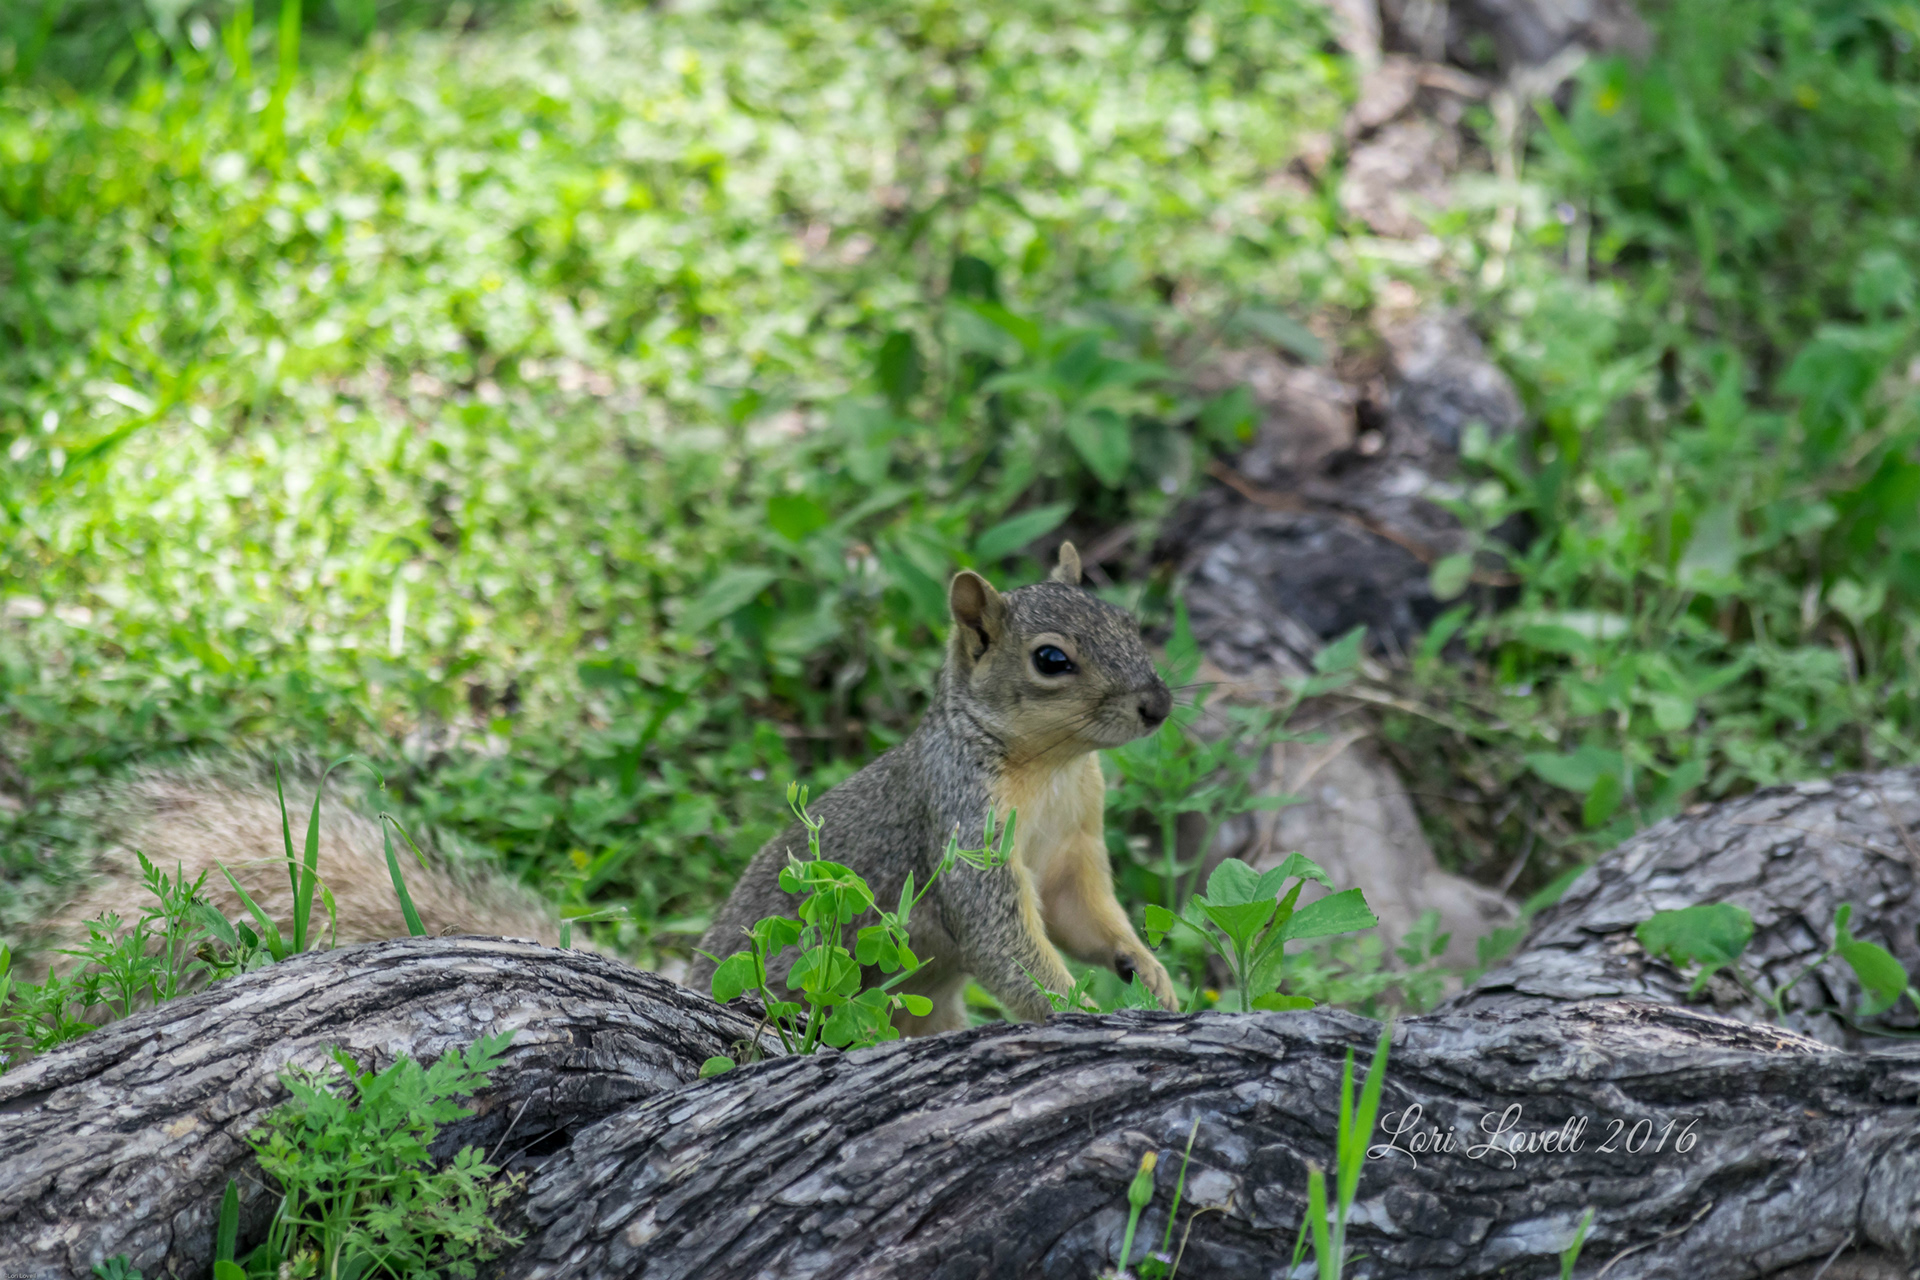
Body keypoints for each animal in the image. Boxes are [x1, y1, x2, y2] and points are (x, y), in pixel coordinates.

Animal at [687, 543, 1179, 1033]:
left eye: (1127, 623)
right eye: (1050, 660)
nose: (1158, 705)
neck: (1054, 770)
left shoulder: (1073, 845)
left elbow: (1078, 915)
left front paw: (1150, 971)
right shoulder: (964, 821)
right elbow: (1000, 944)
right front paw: (1084, 1010)